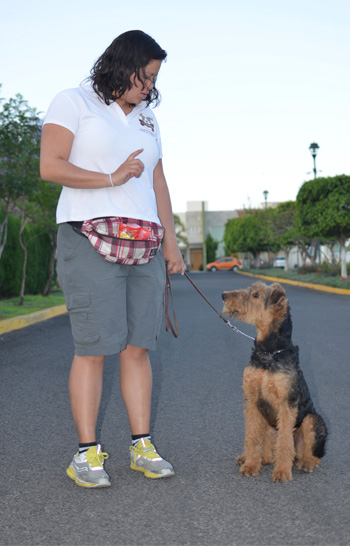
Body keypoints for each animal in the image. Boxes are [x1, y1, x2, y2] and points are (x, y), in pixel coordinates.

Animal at [223, 280, 326, 480]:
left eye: (256, 295)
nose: (224, 295)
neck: (270, 351)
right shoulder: (252, 398)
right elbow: (251, 436)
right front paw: (250, 465)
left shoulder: (286, 402)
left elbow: (285, 441)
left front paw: (282, 472)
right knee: (268, 452)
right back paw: (250, 458)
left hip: (312, 420)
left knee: (312, 454)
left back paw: (305, 463)